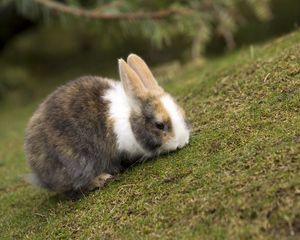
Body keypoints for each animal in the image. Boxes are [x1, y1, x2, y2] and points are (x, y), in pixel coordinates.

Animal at [24, 53, 191, 196]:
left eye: (182, 113)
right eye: (159, 125)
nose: (181, 142)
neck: (130, 121)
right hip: (75, 163)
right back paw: (102, 179)